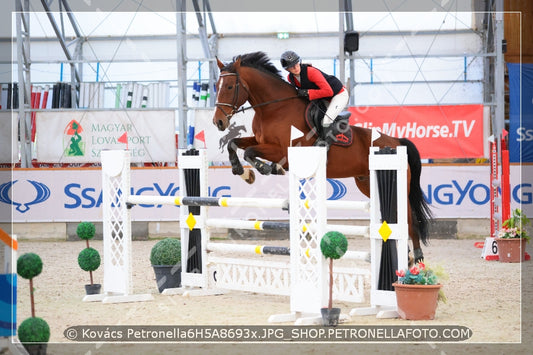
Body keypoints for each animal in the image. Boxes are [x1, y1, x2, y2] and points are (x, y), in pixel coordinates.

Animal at [212, 51, 432, 262]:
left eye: (230, 86)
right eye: (216, 86)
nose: (218, 122)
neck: (274, 109)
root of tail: (395, 141)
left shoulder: (284, 152)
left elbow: (250, 152)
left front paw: (266, 168)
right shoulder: (259, 141)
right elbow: (234, 144)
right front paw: (242, 172)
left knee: (409, 217)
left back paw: (417, 257)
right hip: (367, 183)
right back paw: (407, 257)